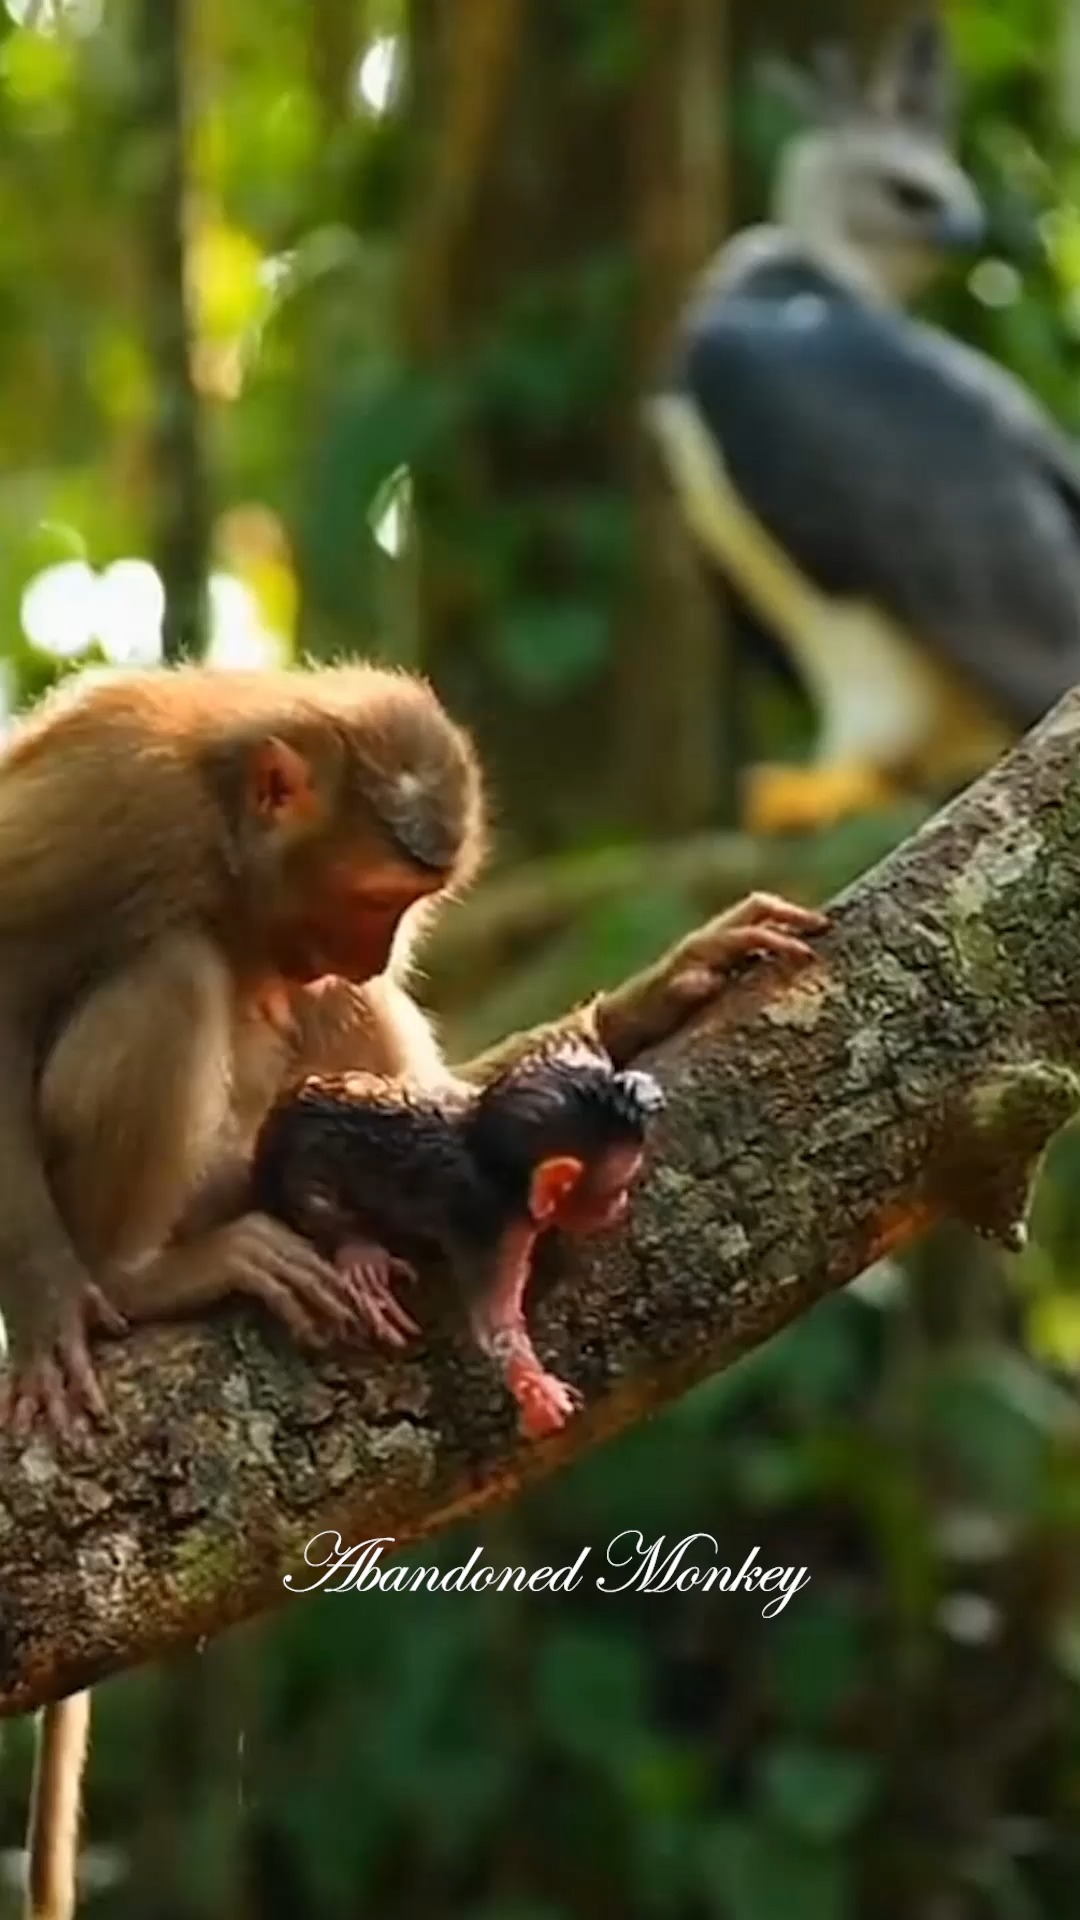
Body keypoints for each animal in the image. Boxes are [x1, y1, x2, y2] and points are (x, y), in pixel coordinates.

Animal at [251, 1039, 667, 1437]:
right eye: (614, 1191)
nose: (619, 1206)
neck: (488, 1159)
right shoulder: (491, 1224)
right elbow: (495, 1325)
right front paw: (529, 1380)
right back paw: (357, 1248)